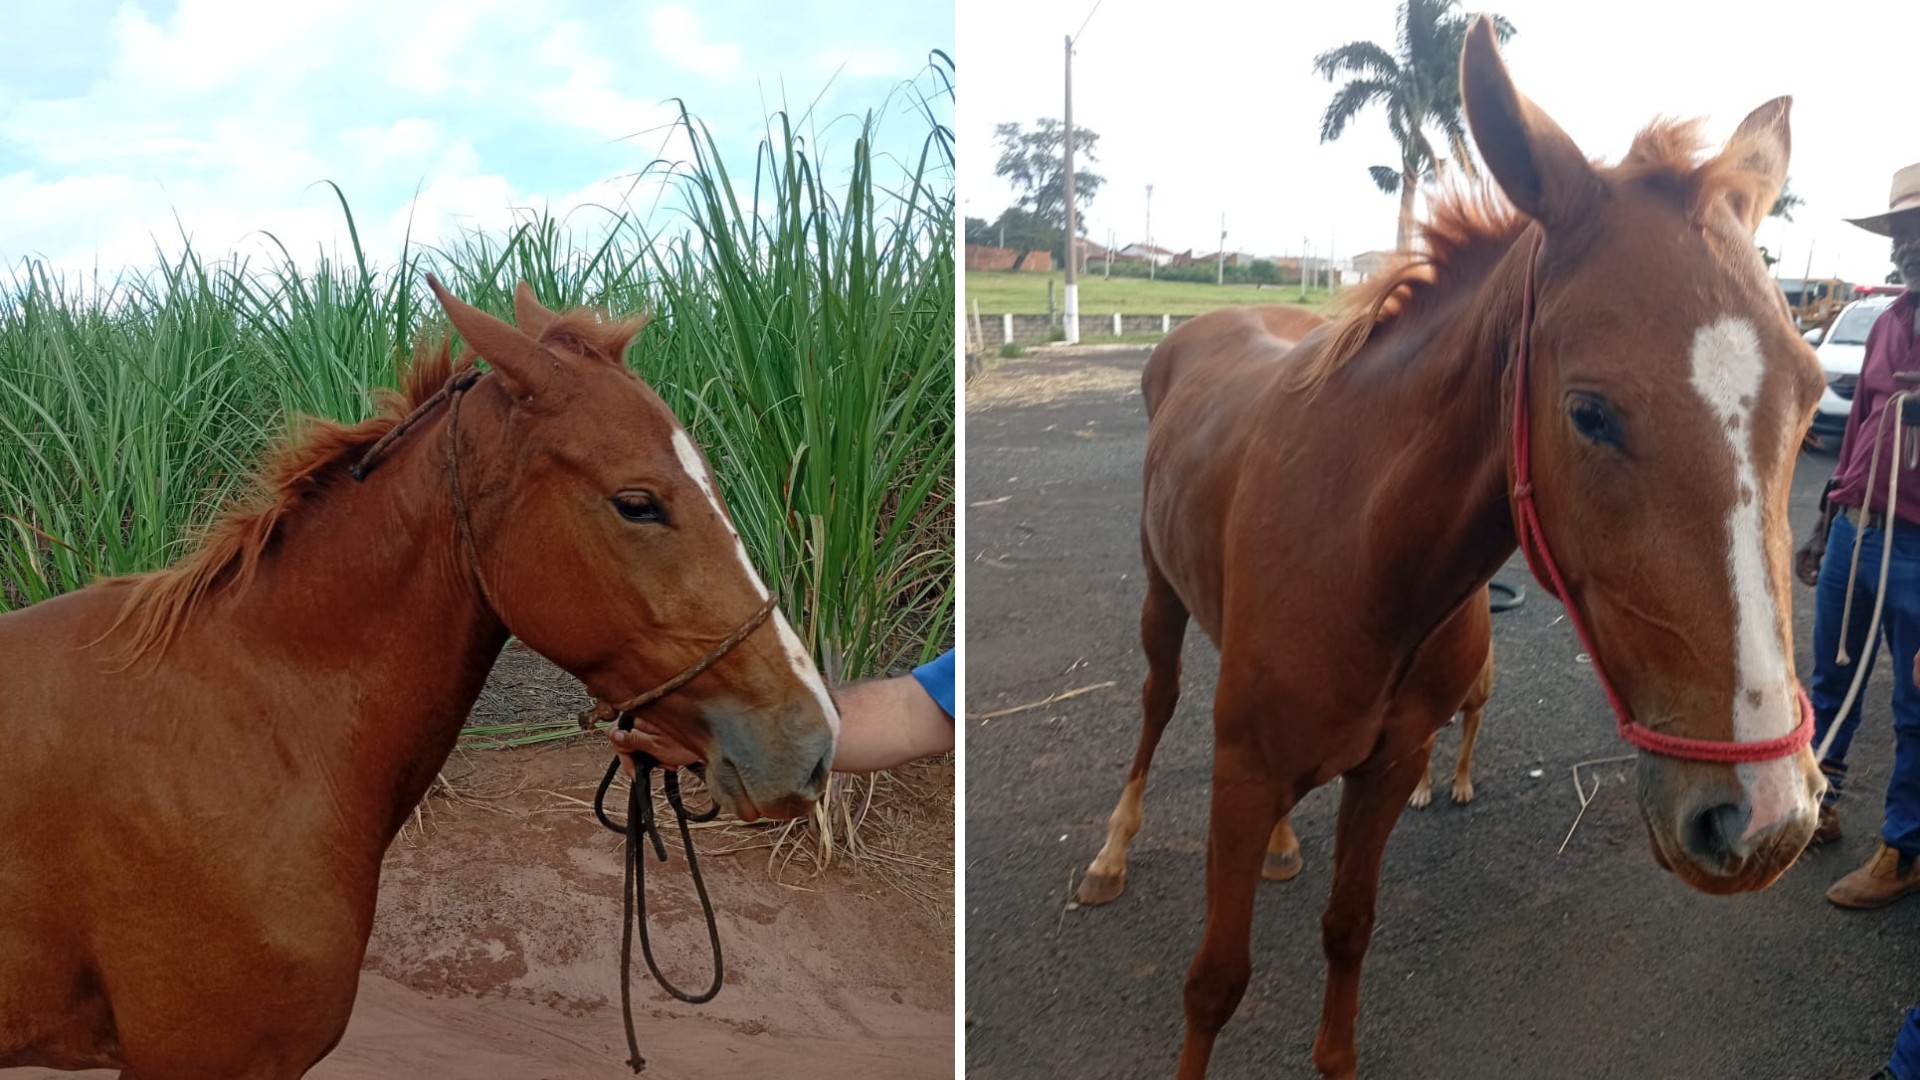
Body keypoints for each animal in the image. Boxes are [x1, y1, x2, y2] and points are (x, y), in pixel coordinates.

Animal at [1077, 20, 1826, 1079]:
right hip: (1160, 603)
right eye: (1588, 412)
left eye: (1810, 392)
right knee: (1155, 707)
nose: (1764, 820)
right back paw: (1112, 850)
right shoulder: (1243, 774)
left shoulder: (1392, 768)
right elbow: (1215, 982)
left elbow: (1349, 929)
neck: (1366, 561)